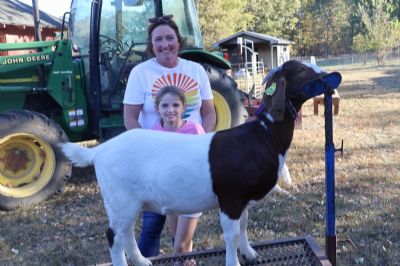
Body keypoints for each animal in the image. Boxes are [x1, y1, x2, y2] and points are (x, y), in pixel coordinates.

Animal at [60, 60, 340, 266]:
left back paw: (141, 261)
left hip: (128, 203)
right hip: (120, 199)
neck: (262, 135)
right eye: (301, 70)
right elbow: (231, 234)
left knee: (126, 233)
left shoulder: (242, 199)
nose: (330, 76)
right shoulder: (230, 198)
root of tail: (100, 151)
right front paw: (234, 261)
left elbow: (244, 225)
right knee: (114, 236)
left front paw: (249, 252)